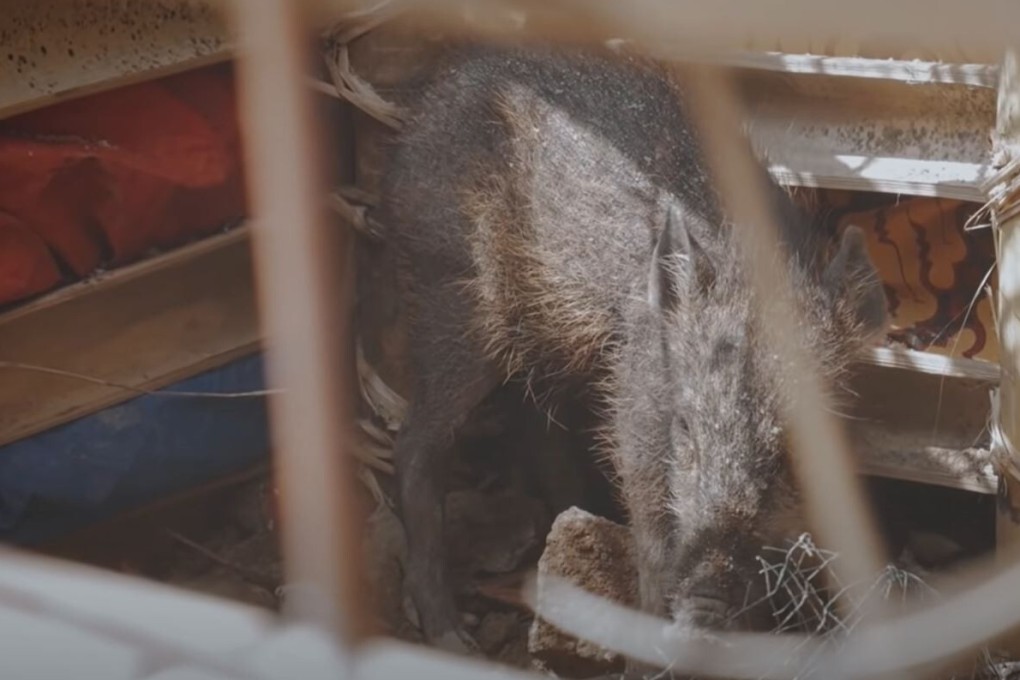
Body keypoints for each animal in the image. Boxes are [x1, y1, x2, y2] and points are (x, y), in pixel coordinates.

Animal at [373, 42, 889, 656]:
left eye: (793, 447)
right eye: (684, 426)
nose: (703, 611)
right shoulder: (635, 396)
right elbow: (645, 506)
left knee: (531, 421)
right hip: (454, 298)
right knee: (417, 441)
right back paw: (451, 637)